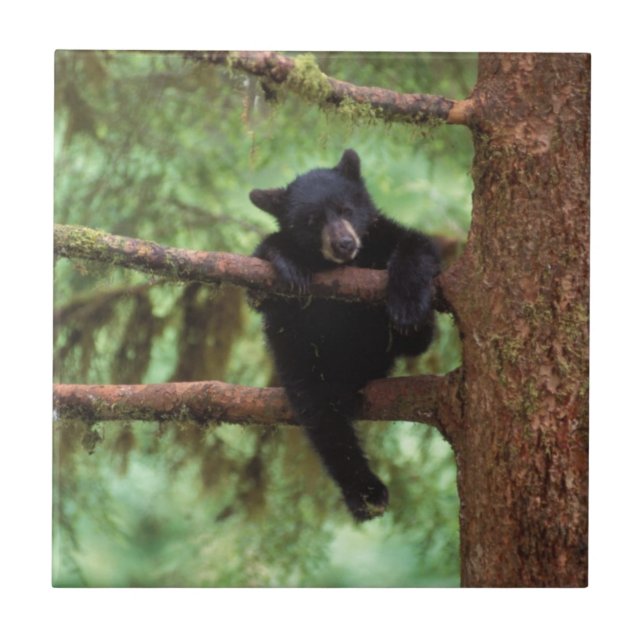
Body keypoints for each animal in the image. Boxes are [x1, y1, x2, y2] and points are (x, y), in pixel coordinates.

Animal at [249, 149, 440, 521]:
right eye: (312, 221)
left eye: (346, 209)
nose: (344, 243)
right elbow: (263, 286)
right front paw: (286, 260)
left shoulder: (383, 236)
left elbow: (417, 244)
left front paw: (407, 304)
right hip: (303, 367)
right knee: (325, 422)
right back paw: (366, 492)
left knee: (418, 341)